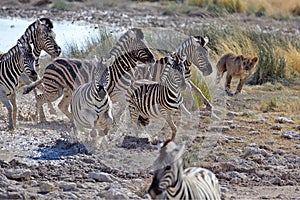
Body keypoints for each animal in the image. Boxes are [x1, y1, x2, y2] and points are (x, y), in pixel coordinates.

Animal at [22, 27, 155, 122]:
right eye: (142, 46)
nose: (153, 59)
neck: (118, 70)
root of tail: (51, 63)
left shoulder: (121, 93)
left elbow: (123, 107)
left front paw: (117, 121)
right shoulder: (109, 94)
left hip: (67, 91)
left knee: (61, 106)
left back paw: (73, 121)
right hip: (54, 90)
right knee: (40, 98)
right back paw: (42, 119)